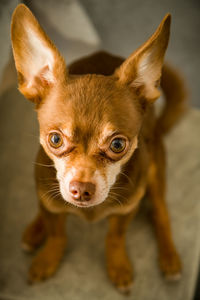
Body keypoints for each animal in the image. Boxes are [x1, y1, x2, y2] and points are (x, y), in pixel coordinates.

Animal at [11, 4, 186, 292]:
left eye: (117, 144)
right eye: (55, 140)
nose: (82, 189)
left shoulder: (127, 210)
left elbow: (115, 238)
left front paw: (118, 266)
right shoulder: (50, 201)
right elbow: (57, 233)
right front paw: (47, 259)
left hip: (155, 171)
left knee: (160, 212)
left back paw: (169, 258)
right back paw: (35, 229)